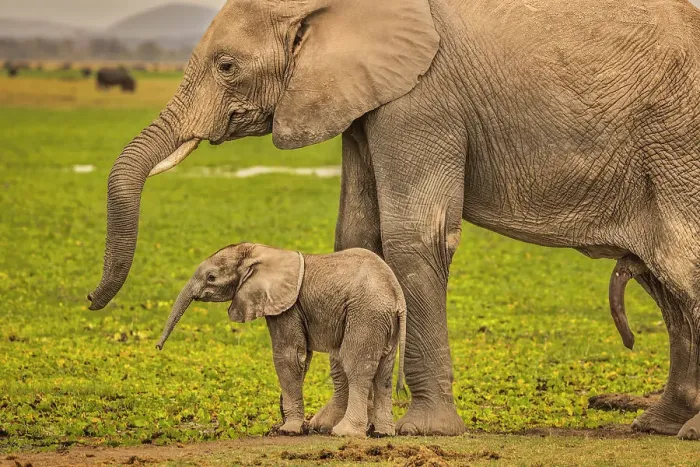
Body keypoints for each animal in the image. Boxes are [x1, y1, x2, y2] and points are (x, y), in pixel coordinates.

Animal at [155, 243, 407, 438]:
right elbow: (302, 357)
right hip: (383, 321)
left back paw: (345, 433)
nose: (158, 347)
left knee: (356, 366)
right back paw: (383, 433)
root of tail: (397, 295)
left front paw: (289, 430)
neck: (263, 251)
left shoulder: (287, 306)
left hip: (366, 314)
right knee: (384, 372)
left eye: (211, 277)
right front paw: (290, 425)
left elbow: (289, 355)